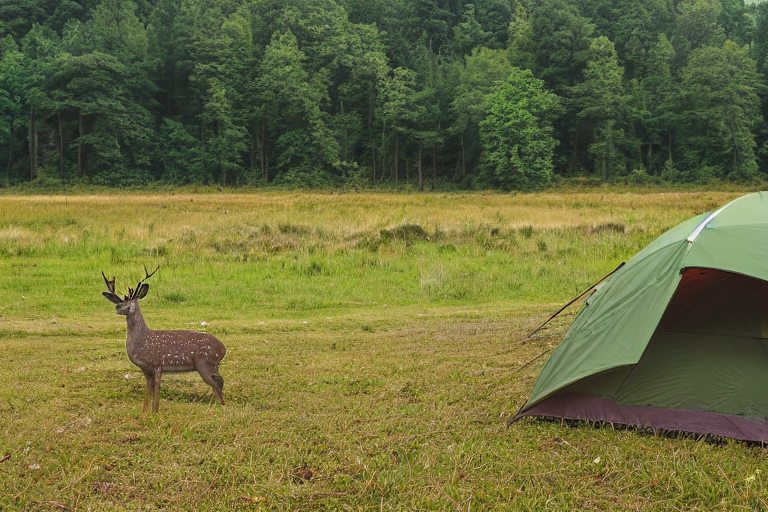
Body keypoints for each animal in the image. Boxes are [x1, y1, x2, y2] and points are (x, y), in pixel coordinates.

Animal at [101, 266, 226, 413]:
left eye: (130, 303)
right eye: (121, 301)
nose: (117, 307)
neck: (142, 341)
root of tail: (223, 349)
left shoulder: (157, 364)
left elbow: (156, 392)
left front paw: (155, 412)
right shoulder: (146, 369)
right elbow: (148, 391)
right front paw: (145, 412)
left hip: (204, 363)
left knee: (218, 382)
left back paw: (220, 407)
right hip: (210, 365)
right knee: (218, 382)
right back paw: (212, 407)